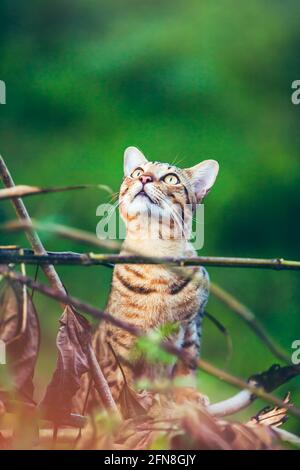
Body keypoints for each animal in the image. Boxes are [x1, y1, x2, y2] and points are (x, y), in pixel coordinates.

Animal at [91, 148, 218, 408]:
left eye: (171, 178)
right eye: (137, 172)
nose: (144, 178)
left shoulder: (191, 327)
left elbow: (186, 367)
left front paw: (187, 394)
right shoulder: (123, 339)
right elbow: (120, 376)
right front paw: (126, 402)